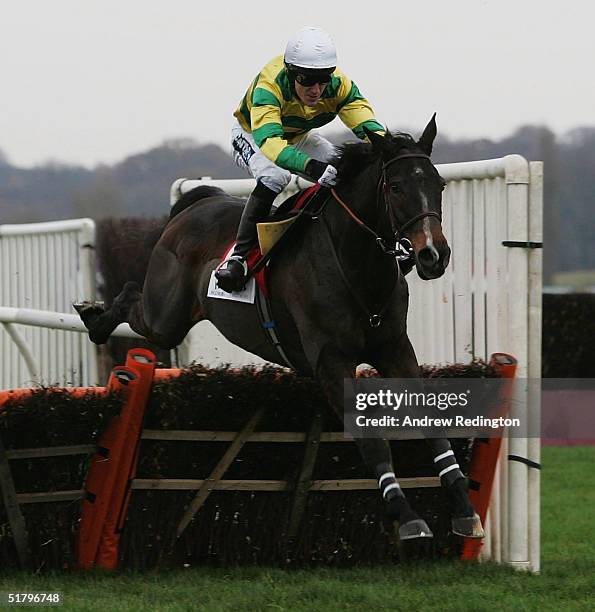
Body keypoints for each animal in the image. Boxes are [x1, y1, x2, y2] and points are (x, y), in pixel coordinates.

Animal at [77, 117, 484, 544]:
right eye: (396, 187)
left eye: (438, 185)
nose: (433, 255)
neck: (355, 264)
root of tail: (197, 204)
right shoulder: (331, 363)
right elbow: (372, 443)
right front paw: (406, 516)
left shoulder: (395, 349)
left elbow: (431, 422)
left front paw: (463, 508)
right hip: (165, 319)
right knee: (131, 295)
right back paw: (95, 318)